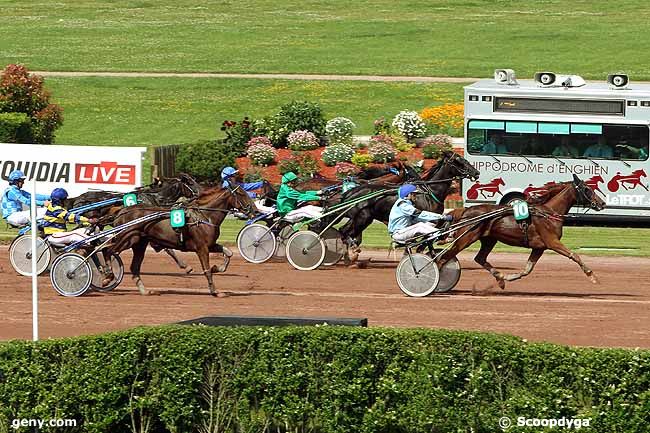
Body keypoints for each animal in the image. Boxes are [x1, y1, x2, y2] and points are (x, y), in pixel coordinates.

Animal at [102, 184, 254, 296]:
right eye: (241, 194)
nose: (254, 210)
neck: (205, 216)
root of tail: (120, 212)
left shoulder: (210, 245)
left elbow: (229, 253)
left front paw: (217, 267)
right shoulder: (202, 248)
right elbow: (206, 270)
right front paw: (215, 291)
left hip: (139, 243)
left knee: (133, 266)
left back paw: (144, 291)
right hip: (127, 238)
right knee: (107, 250)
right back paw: (108, 276)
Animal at [438, 176, 604, 290]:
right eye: (587, 189)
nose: (602, 203)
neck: (548, 213)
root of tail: (465, 210)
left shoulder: (539, 247)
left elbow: (527, 270)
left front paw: (510, 277)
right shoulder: (552, 242)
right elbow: (574, 255)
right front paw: (592, 276)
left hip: (489, 239)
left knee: (479, 258)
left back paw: (500, 278)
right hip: (465, 238)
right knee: (443, 258)